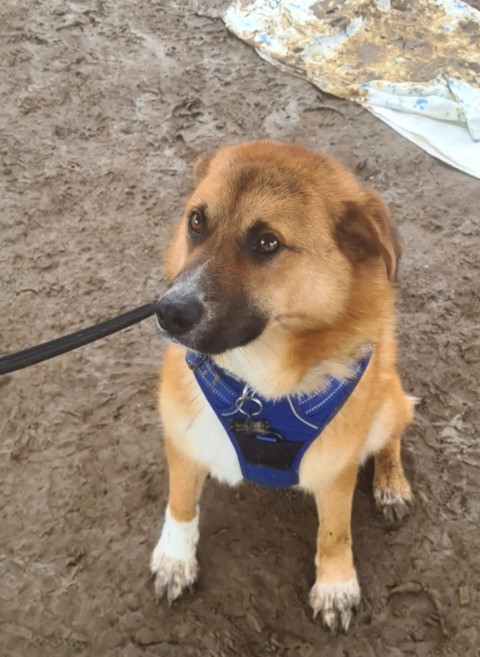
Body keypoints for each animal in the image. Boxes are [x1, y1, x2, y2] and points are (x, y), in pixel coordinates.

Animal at [151, 141, 416, 632]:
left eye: (267, 242)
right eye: (196, 221)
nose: (169, 312)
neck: (256, 385)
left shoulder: (335, 466)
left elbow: (335, 532)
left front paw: (335, 585)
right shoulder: (184, 435)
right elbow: (180, 504)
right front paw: (175, 559)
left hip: (387, 399)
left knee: (392, 431)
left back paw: (391, 483)